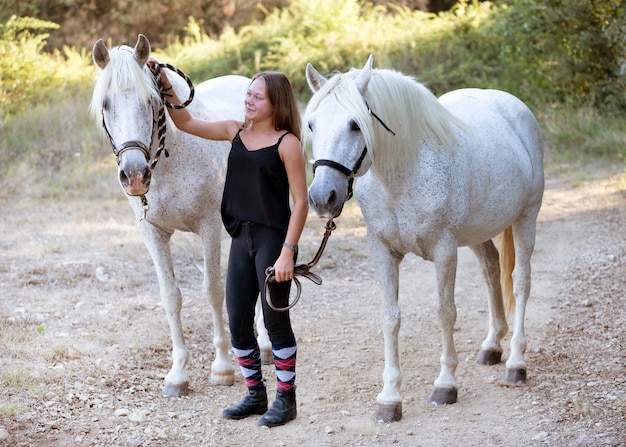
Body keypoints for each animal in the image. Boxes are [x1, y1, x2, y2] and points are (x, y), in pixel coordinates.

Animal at [89, 36, 270, 400]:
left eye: (149, 101)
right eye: (106, 104)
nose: (134, 175)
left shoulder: (209, 228)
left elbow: (212, 290)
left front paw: (222, 367)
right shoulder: (153, 234)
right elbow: (171, 297)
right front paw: (178, 374)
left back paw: (267, 345)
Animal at [302, 56, 540, 424]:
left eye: (356, 124)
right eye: (312, 124)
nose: (322, 197)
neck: (403, 175)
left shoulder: (444, 251)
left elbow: (445, 313)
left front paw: (445, 385)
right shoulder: (382, 252)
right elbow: (390, 318)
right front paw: (389, 398)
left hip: (526, 218)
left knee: (521, 282)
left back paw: (516, 363)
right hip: (477, 232)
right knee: (490, 271)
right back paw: (491, 347)